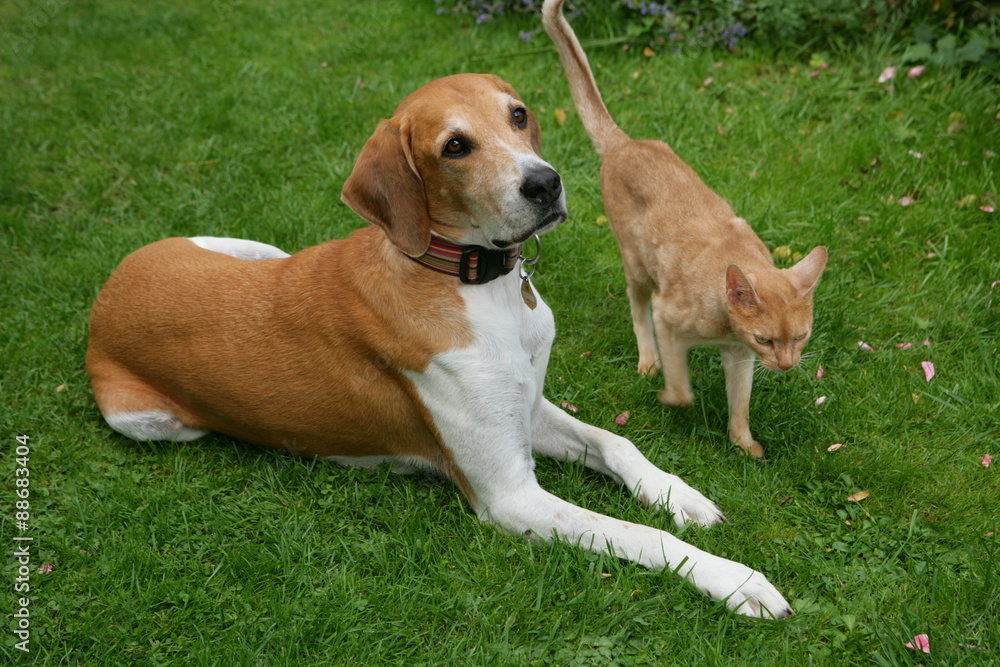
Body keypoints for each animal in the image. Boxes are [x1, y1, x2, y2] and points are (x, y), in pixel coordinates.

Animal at [86, 70, 788, 620]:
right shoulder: (509, 494)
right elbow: (636, 535)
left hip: (250, 247)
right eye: (455, 146)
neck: (475, 282)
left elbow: (618, 444)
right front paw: (737, 581)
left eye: (517, 115)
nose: (546, 183)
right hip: (148, 421)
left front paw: (680, 496)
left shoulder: (528, 408)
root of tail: (107, 291)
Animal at [544, 0, 824, 456]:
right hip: (638, 265)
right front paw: (667, 395)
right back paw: (647, 361)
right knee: (636, 306)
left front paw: (743, 443)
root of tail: (624, 144)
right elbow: (681, 389)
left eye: (800, 336)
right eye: (766, 340)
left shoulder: (738, 356)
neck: (723, 325)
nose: (786, 365)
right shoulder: (668, 317)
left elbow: (740, 404)